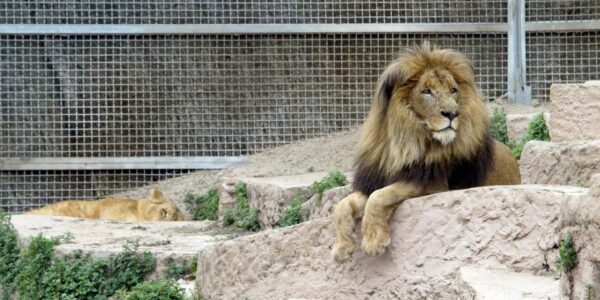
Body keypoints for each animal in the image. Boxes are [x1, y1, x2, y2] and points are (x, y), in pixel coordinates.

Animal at [332, 42, 520, 262]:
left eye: (453, 90)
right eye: (427, 91)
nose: (452, 113)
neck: (407, 141)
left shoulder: (433, 184)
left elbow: (379, 196)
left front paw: (373, 241)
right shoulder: (374, 179)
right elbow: (342, 204)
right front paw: (341, 247)